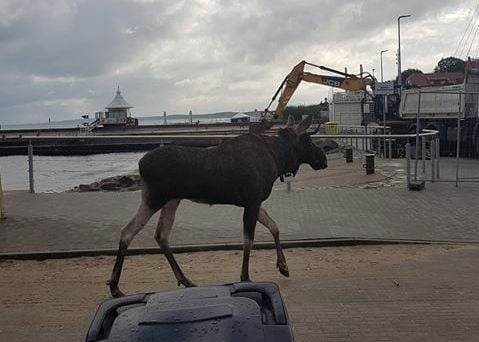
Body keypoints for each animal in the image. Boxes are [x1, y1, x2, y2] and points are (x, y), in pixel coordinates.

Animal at [108, 115, 326, 296]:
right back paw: (115, 287)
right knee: (128, 232)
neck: (278, 159)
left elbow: (274, 226)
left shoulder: (253, 202)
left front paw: (283, 266)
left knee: (160, 235)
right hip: (155, 198)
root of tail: (140, 164)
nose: (323, 159)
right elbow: (249, 240)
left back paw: (184, 279)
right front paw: (245, 277)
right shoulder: (252, 200)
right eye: (308, 140)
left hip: (171, 200)